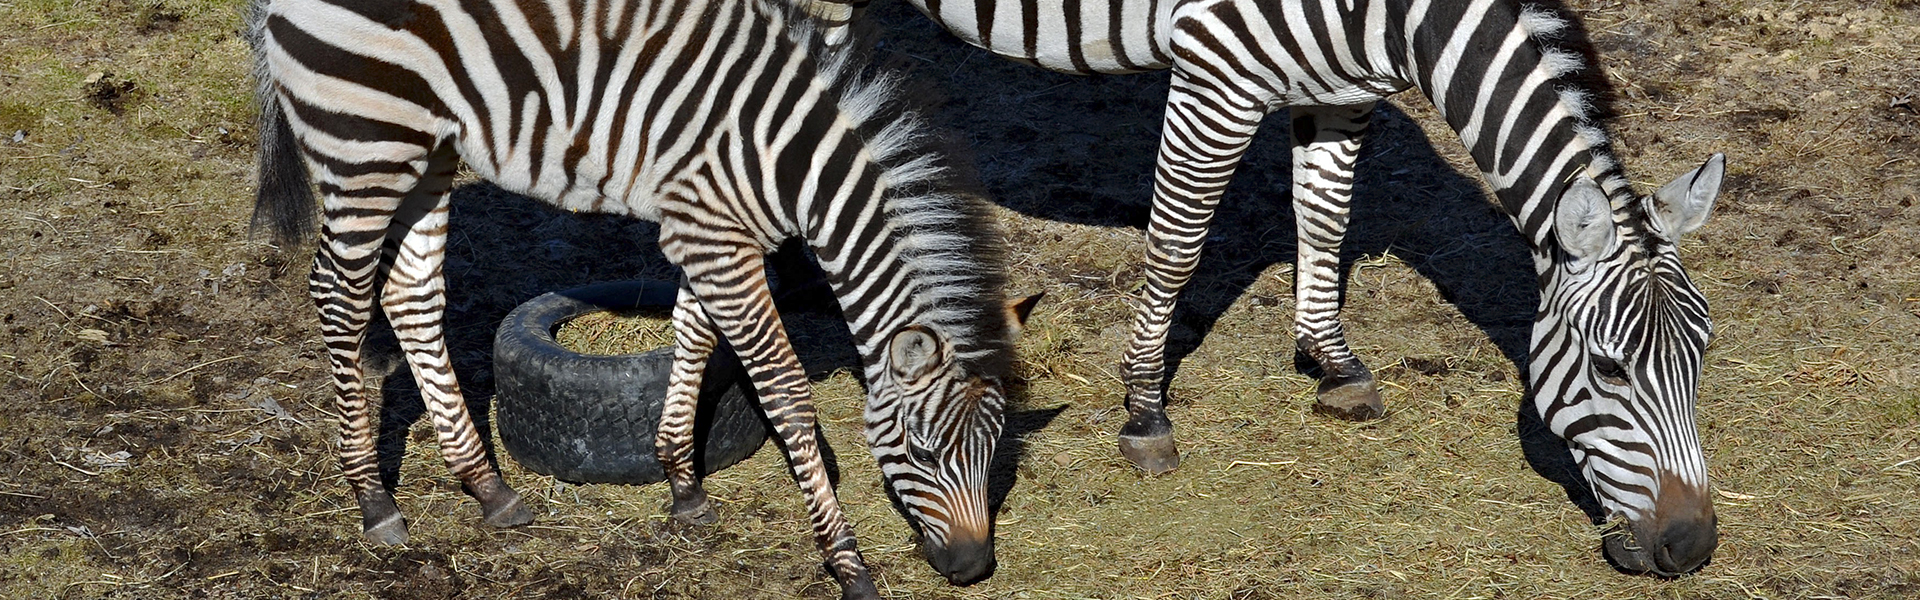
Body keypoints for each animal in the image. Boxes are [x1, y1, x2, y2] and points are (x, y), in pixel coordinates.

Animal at [251, 0, 1052, 596]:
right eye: (920, 451)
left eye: (996, 450)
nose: (973, 569)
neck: (786, 161)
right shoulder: (717, 241)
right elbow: (787, 394)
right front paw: (847, 562)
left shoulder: (712, 232)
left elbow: (693, 340)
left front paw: (682, 482)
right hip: (362, 144)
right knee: (339, 292)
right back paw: (374, 500)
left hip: (427, 148)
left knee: (410, 292)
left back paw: (487, 486)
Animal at [802, 0, 1735, 576]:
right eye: (1609, 369)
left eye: (1703, 355)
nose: (1691, 547)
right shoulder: (1215, 75)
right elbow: (1176, 247)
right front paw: (1144, 410)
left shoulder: (1341, 87)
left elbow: (1324, 216)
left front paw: (1333, 364)